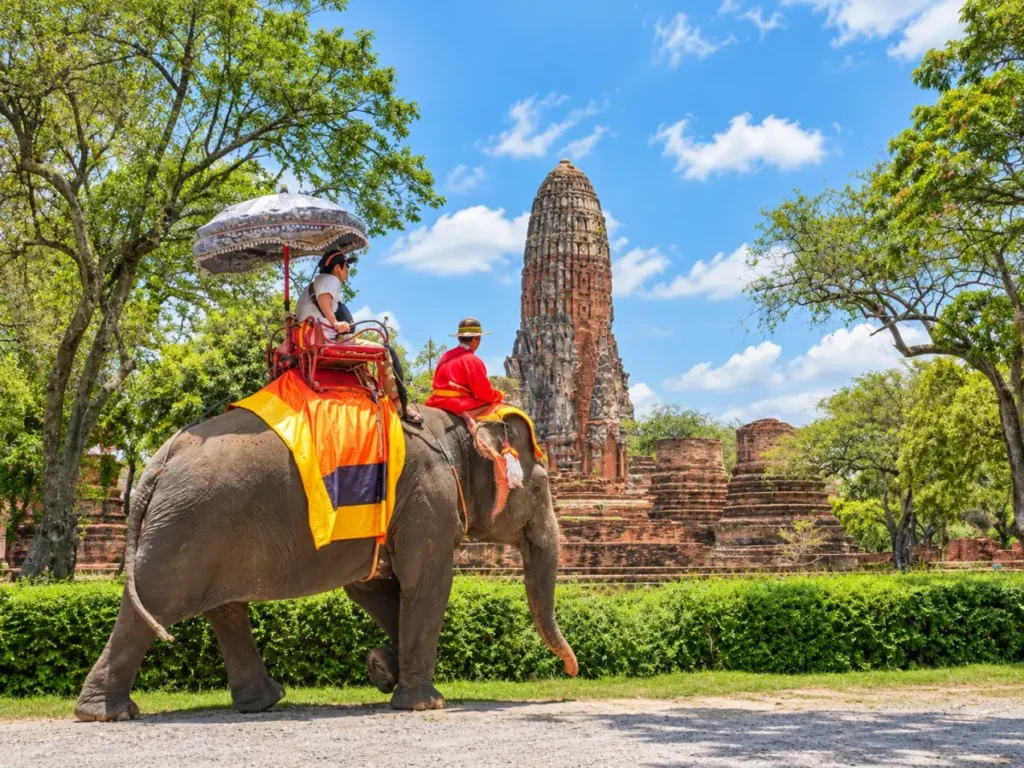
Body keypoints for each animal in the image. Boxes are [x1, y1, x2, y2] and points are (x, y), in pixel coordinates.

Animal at [74, 406, 578, 721]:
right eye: (541, 487)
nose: (572, 671)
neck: (456, 425)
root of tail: (162, 456)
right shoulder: (429, 499)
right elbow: (427, 583)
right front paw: (424, 704)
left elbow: (375, 588)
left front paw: (381, 669)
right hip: (188, 525)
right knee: (153, 602)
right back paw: (106, 713)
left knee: (224, 607)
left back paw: (265, 700)